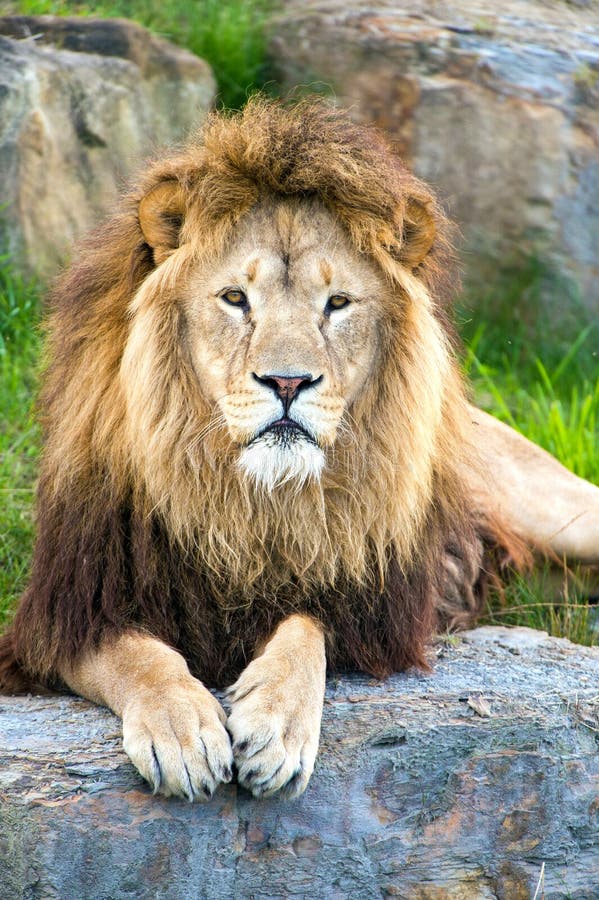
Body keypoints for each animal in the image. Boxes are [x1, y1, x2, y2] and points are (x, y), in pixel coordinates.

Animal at [1, 99, 598, 802]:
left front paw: (276, 725)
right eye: (235, 298)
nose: (287, 383)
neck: (246, 500)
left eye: (336, 303)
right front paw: (183, 730)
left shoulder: (368, 608)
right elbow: (139, 656)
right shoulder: (60, 618)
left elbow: (305, 626)